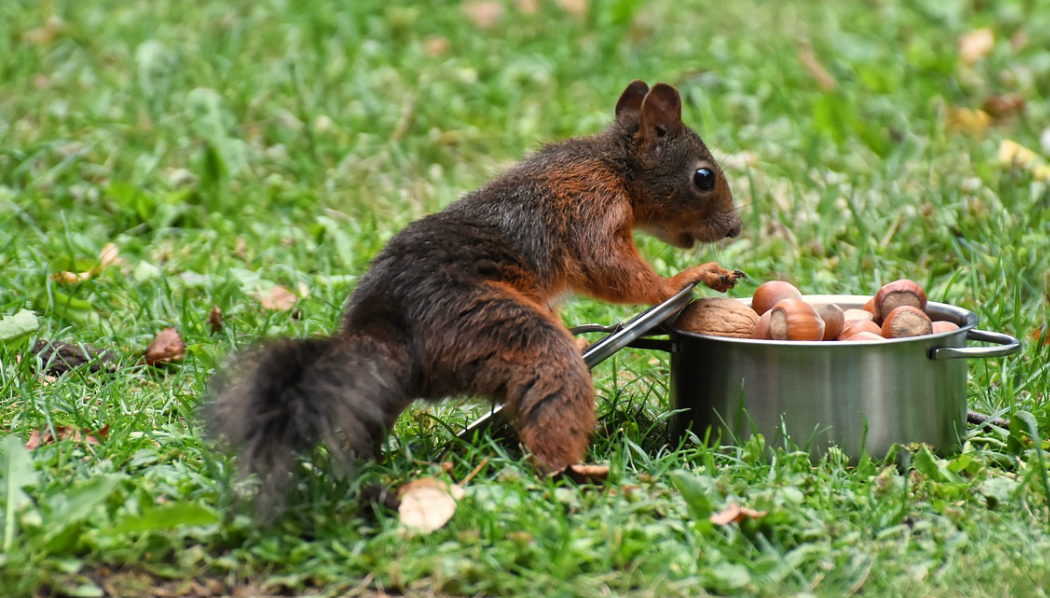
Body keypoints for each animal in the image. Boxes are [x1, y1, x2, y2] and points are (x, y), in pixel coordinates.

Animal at [206, 79, 747, 497]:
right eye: (703, 177)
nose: (735, 228)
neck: (613, 166)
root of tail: (391, 335)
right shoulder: (588, 204)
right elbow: (608, 267)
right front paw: (685, 279)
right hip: (489, 327)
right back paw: (576, 471)